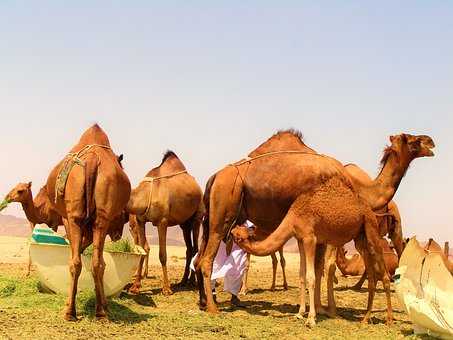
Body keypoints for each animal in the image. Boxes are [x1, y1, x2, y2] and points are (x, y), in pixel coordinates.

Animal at [44, 123, 130, 320]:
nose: (118, 234)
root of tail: (92, 160)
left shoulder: (67, 219)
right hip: (100, 218)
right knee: (96, 263)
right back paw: (100, 312)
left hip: (75, 217)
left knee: (76, 262)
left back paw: (70, 311)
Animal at [125, 151, 203, 294]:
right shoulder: (140, 220)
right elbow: (143, 249)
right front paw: (135, 286)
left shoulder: (162, 222)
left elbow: (163, 254)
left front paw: (166, 288)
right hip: (184, 223)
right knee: (189, 249)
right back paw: (183, 281)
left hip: (197, 217)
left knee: (195, 247)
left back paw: (192, 282)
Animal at [197, 131, 430, 326]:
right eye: (412, 140)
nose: (430, 142)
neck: (357, 186)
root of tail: (214, 177)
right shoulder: (325, 230)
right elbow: (324, 268)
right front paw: (326, 310)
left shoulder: (319, 232)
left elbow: (316, 270)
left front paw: (316, 308)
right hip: (221, 215)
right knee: (207, 260)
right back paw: (213, 307)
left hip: (211, 219)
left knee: (199, 259)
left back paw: (205, 301)